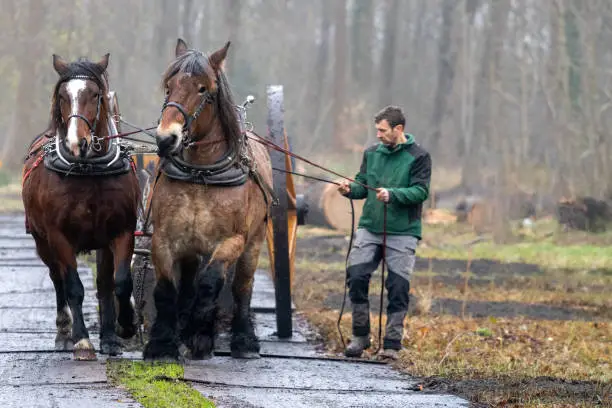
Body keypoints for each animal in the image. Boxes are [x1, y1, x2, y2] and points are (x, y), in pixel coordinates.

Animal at [21, 53, 140, 360]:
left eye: (95, 94)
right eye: (63, 95)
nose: (78, 143)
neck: (89, 170)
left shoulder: (121, 230)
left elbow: (119, 282)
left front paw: (123, 328)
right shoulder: (58, 235)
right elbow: (73, 286)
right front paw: (83, 341)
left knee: (103, 283)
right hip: (42, 241)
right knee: (57, 279)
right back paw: (65, 332)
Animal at [143, 39, 272, 360]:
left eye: (203, 89)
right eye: (169, 86)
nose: (166, 139)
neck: (201, 174)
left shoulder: (232, 241)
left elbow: (212, 281)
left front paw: (199, 334)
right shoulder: (164, 238)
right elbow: (166, 289)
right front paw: (162, 342)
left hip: (254, 241)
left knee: (241, 287)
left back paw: (243, 340)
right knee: (189, 282)